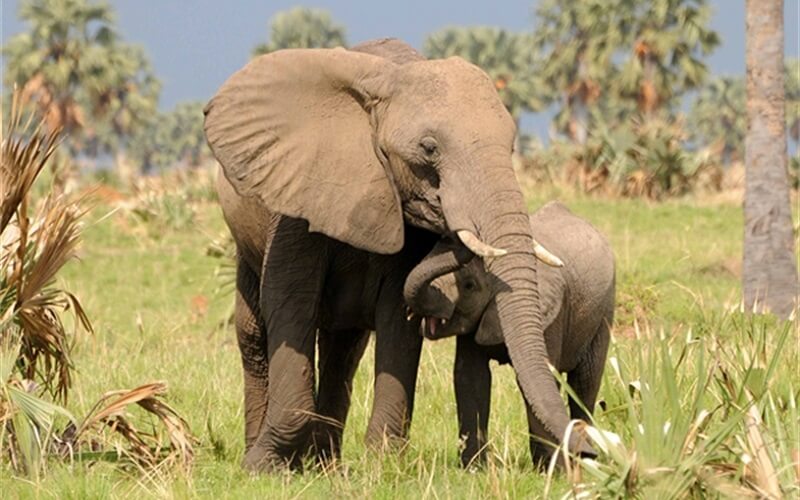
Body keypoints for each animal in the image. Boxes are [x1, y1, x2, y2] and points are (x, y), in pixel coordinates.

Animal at [204, 37, 588, 472]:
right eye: (429, 148)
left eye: (511, 146)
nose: (587, 448)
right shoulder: (295, 198)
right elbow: (290, 301)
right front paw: (264, 468)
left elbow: (397, 316)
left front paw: (383, 464)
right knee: (254, 336)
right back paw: (270, 452)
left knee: (343, 349)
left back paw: (326, 464)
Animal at [403, 201, 615, 467]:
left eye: (469, 286)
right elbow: (470, 377)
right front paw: (474, 469)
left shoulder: (550, 318)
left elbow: (537, 382)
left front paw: (550, 470)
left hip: (604, 312)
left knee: (585, 383)